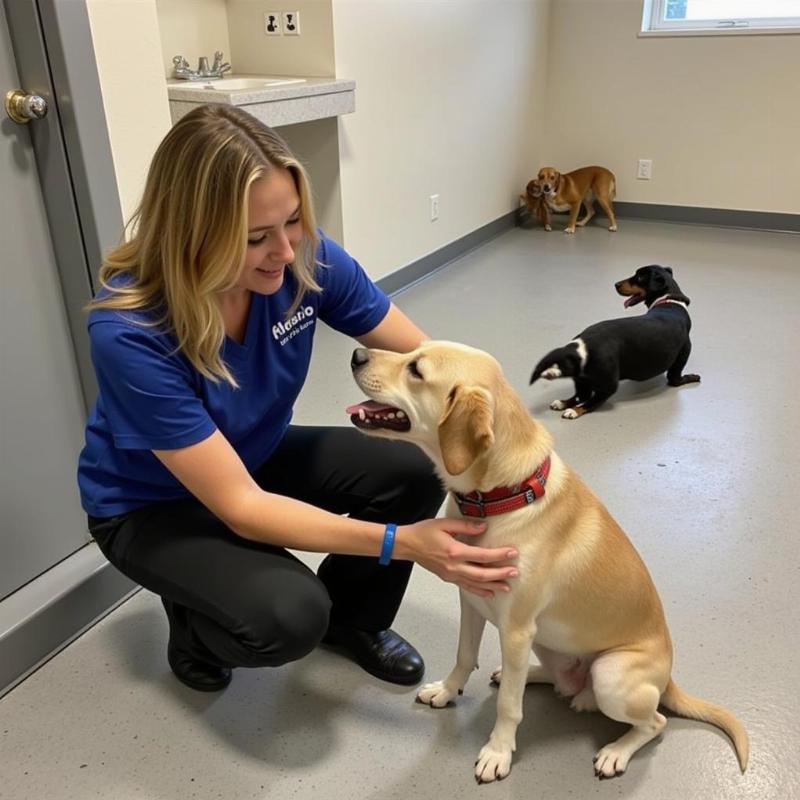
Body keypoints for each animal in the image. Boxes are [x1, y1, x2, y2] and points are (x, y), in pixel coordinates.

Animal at [346, 340, 748, 784]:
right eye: (412, 350)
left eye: (416, 369)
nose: (357, 355)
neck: (499, 498)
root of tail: (669, 678)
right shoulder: (472, 602)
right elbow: (465, 657)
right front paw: (448, 691)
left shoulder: (517, 630)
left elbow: (508, 706)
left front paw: (498, 752)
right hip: (545, 644)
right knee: (555, 683)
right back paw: (528, 675)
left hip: (609, 674)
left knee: (654, 723)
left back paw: (616, 752)